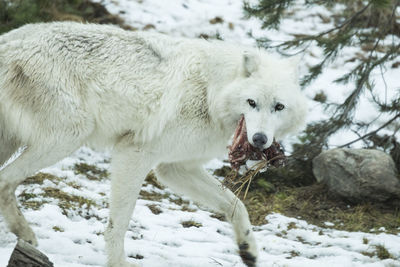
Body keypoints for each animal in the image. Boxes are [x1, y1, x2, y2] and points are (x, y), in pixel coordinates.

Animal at [0, 22, 306, 266]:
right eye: (251, 103)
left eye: (279, 107)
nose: (259, 139)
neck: (211, 92)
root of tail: (8, 41)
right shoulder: (135, 153)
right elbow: (119, 223)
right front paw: (118, 263)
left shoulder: (175, 168)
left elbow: (236, 205)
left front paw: (248, 249)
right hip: (69, 137)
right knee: (5, 180)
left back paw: (22, 234)